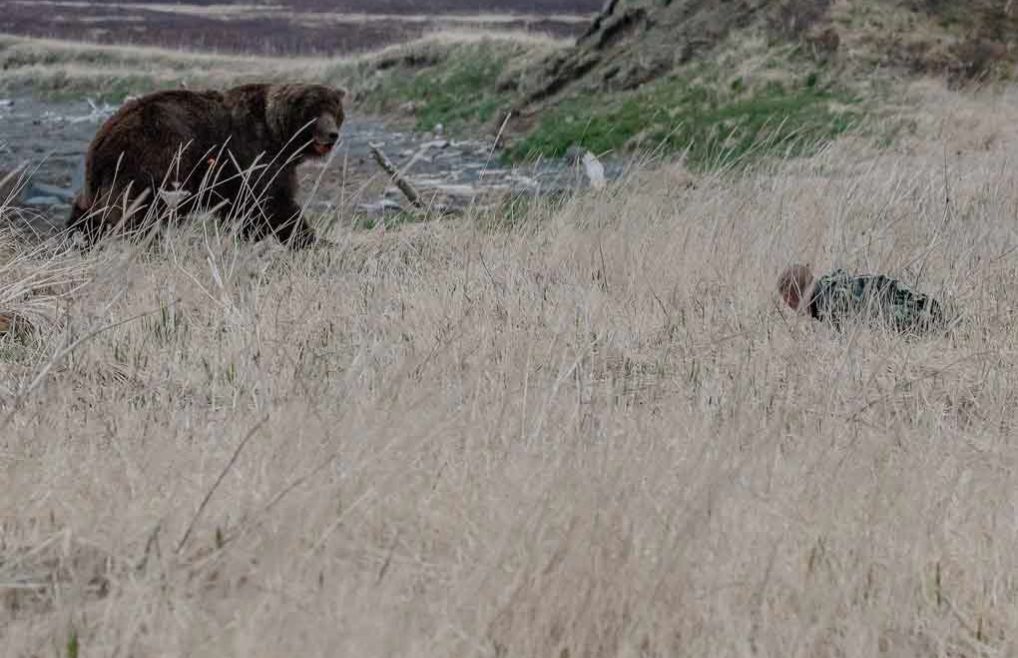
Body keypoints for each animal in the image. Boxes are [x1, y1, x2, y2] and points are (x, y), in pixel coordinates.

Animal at [67, 82, 346, 249]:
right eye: (315, 112)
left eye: (335, 112)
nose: (332, 135)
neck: (281, 136)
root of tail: (104, 135)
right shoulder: (255, 154)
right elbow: (273, 203)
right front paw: (314, 240)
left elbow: (245, 211)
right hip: (154, 159)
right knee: (138, 213)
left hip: (107, 178)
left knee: (89, 211)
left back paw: (77, 238)